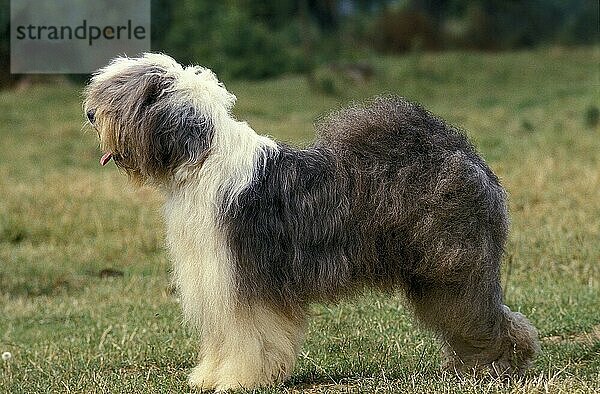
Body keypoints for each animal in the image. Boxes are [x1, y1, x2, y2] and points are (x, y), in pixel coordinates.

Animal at [83, 53, 540, 390]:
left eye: (120, 95)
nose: (88, 113)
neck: (199, 160)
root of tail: (462, 150)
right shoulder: (215, 279)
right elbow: (221, 338)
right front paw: (208, 378)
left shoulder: (246, 282)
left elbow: (249, 338)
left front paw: (238, 381)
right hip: (434, 276)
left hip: (453, 269)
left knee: (491, 318)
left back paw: (500, 366)